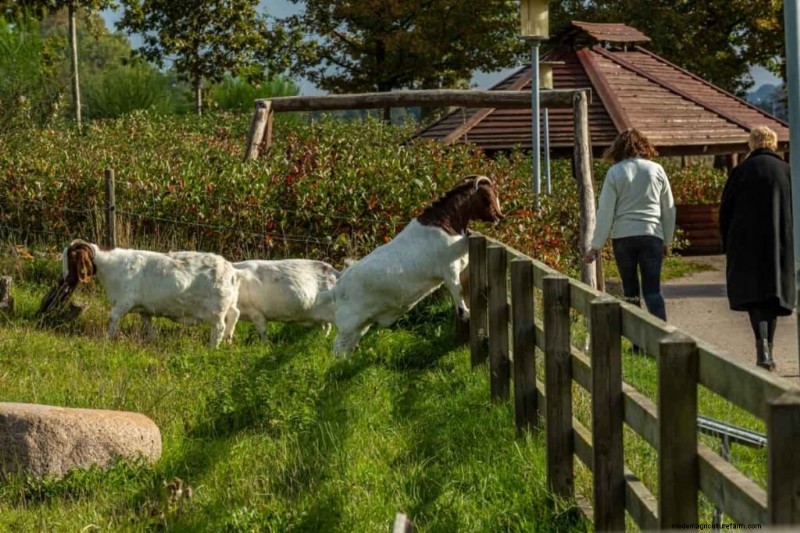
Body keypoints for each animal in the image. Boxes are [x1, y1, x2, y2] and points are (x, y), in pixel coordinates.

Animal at [48, 241, 241, 348]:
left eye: (70, 258)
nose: (65, 278)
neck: (110, 266)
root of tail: (231, 271)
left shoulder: (124, 301)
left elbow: (112, 319)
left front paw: (108, 339)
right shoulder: (144, 309)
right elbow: (148, 324)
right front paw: (152, 339)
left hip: (216, 310)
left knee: (219, 327)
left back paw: (213, 348)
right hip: (229, 303)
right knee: (234, 315)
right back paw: (228, 340)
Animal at [320, 175, 503, 356]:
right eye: (492, 194)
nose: (498, 217)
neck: (444, 223)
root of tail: (337, 287)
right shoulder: (449, 270)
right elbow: (458, 291)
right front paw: (466, 313)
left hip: (361, 323)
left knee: (348, 345)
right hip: (349, 322)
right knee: (338, 345)